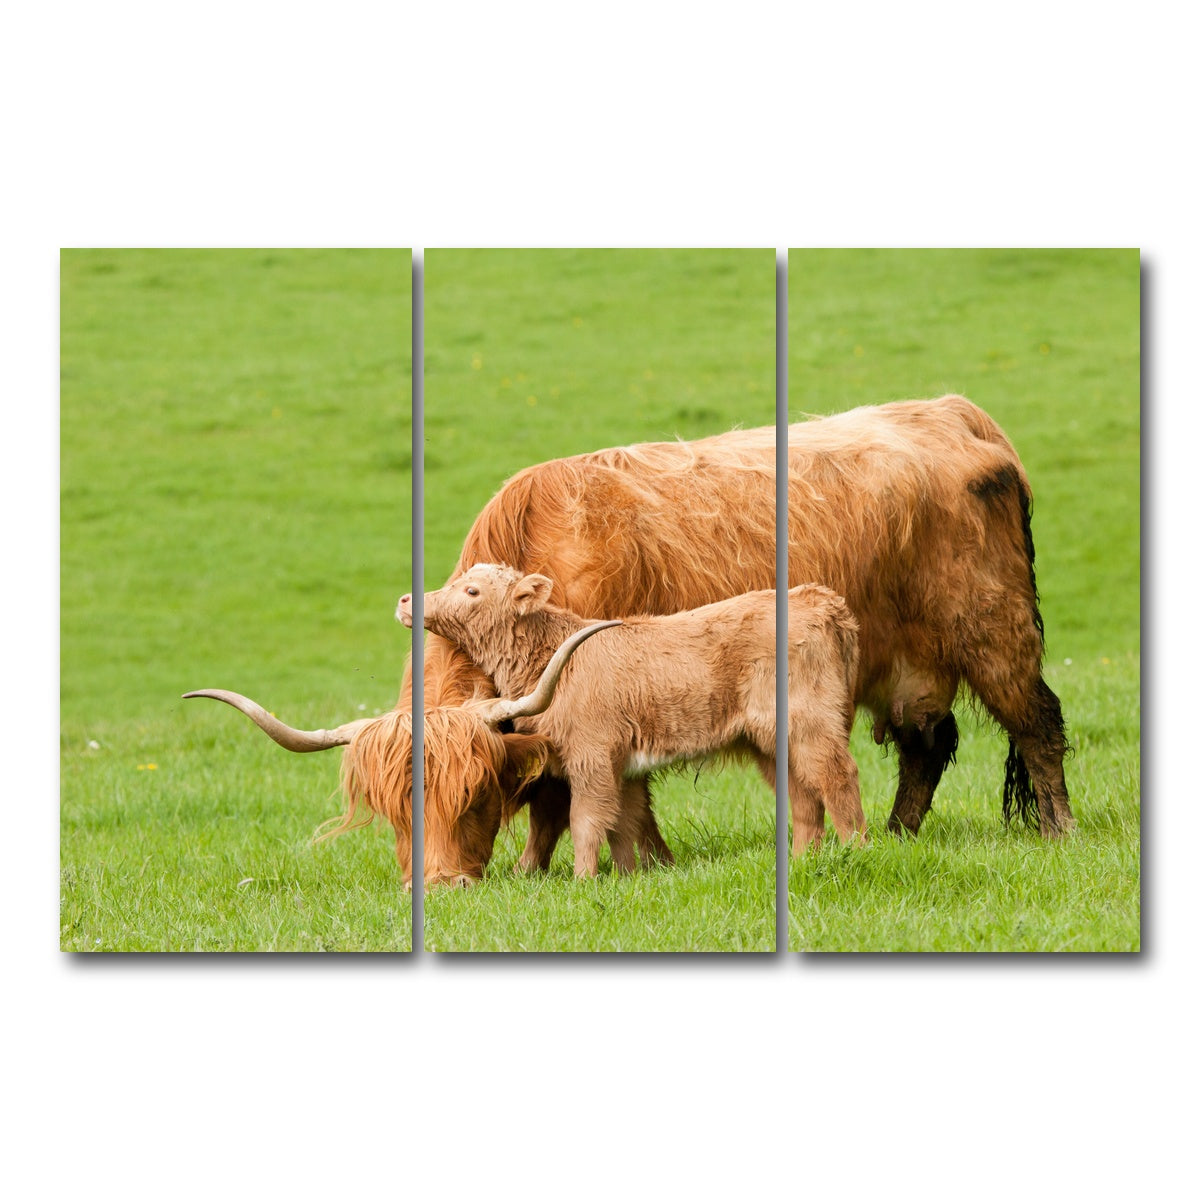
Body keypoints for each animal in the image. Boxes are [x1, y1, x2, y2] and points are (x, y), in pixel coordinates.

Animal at [400, 565, 865, 876]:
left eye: (472, 590)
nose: (407, 600)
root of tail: (820, 599)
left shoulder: (591, 757)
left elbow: (587, 821)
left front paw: (583, 881)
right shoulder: (622, 767)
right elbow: (624, 822)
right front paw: (629, 877)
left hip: (812, 723)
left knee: (837, 777)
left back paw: (856, 850)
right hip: (772, 741)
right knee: (802, 794)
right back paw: (804, 860)